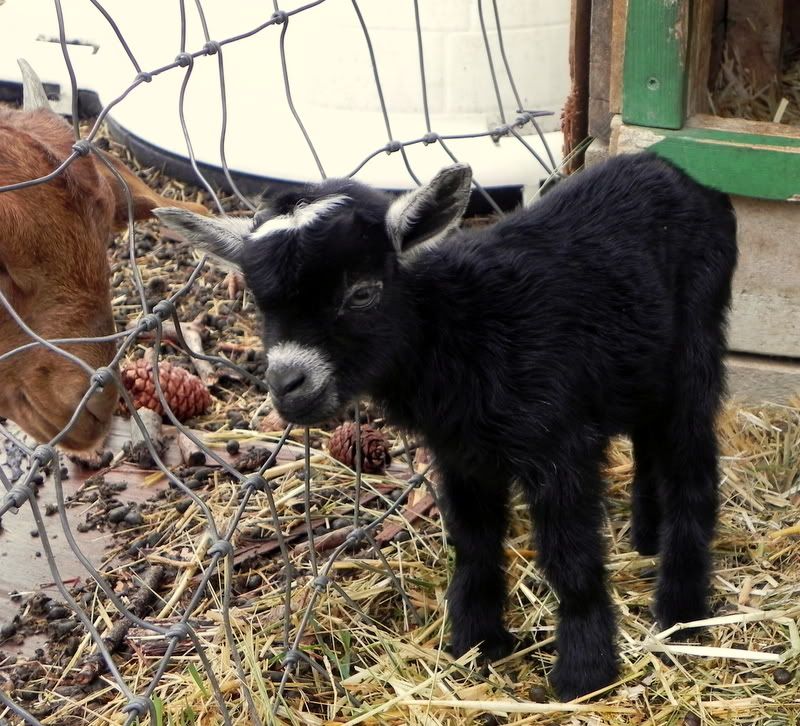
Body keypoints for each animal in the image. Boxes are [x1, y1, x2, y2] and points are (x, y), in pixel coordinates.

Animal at [156, 152, 738, 700]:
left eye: (362, 293)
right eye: (261, 303)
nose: (288, 385)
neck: (464, 327)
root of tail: (675, 172)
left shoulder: (559, 445)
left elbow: (569, 555)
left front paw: (585, 670)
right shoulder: (461, 454)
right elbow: (474, 542)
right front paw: (478, 642)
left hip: (696, 345)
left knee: (692, 468)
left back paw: (683, 612)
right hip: (641, 365)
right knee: (648, 438)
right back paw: (646, 538)